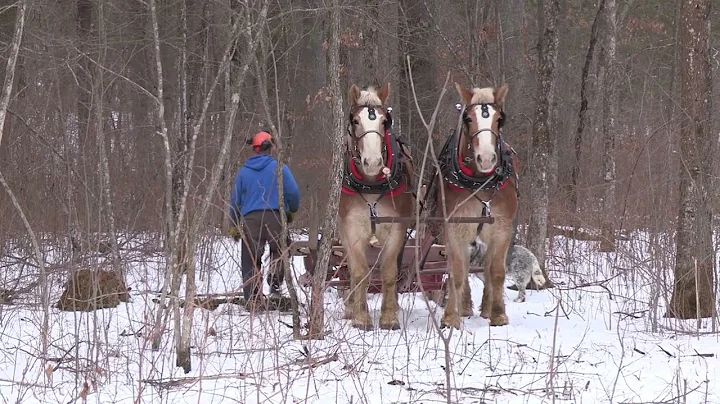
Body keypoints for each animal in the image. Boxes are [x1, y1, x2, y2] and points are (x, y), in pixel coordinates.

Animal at [338, 83, 416, 332]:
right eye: (355, 121)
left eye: (384, 121)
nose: (372, 163)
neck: (371, 183)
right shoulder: (352, 229)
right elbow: (360, 271)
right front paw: (360, 317)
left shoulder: (396, 230)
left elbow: (389, 271)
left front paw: (389, 317)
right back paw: (350, 306)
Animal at [434, 82, 516, 328]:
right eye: (468, 119)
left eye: (499, 119)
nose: (486, 158)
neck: (480, 183)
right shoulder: (454, 228)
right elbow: (457, 271)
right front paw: (451, 316)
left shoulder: (502, 229)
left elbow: (496, 271)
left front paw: (498, 314)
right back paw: (466, 306)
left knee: (487, 267)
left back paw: (487, 307)